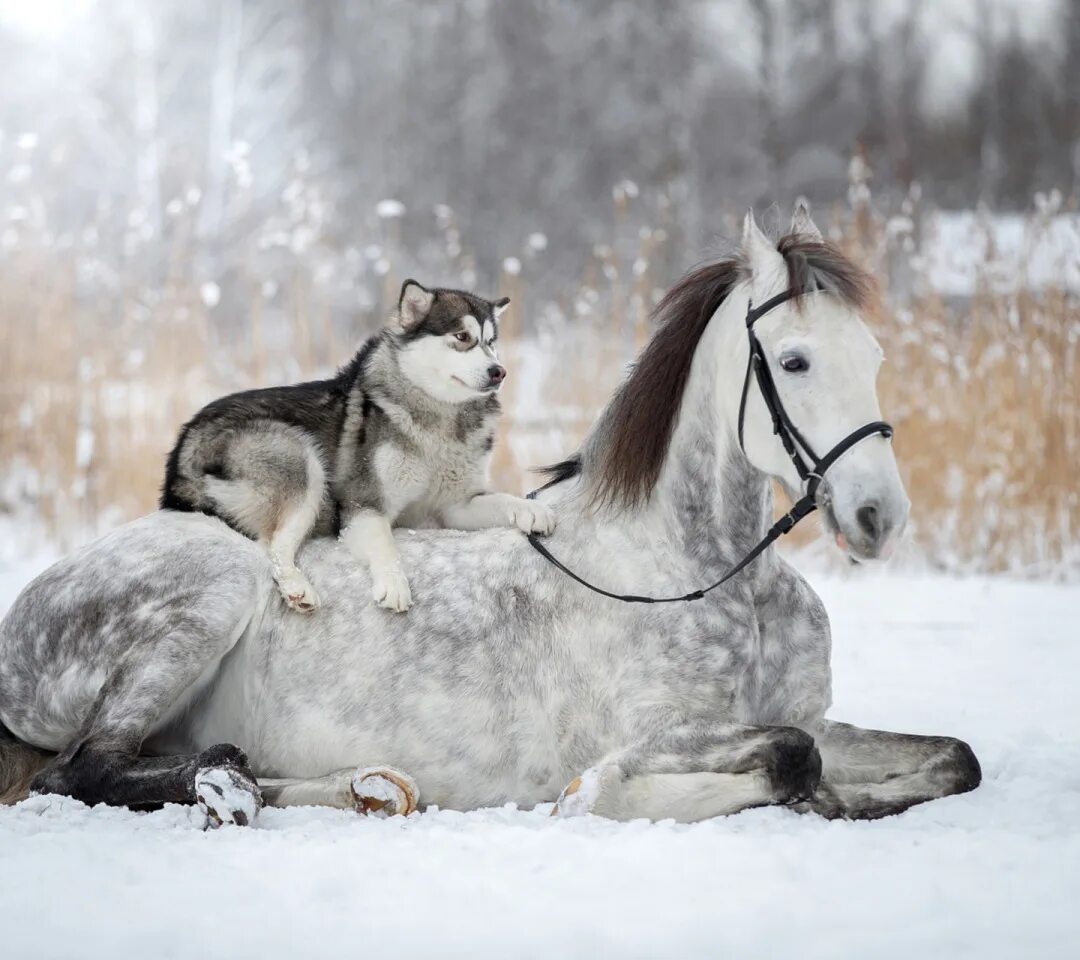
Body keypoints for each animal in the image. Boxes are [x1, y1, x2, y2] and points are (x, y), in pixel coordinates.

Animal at [159, 278, 557, 613]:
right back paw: (297, 588)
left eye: (491, 342)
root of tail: (183, 449)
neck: (438, 417)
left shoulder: (454, 507)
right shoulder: (363, 504)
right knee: (272, 546)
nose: (498, 372)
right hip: (300, 459)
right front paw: (394, 583)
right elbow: (384, 542)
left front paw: (530, 509)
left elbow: (500, 499)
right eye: (462, 336)